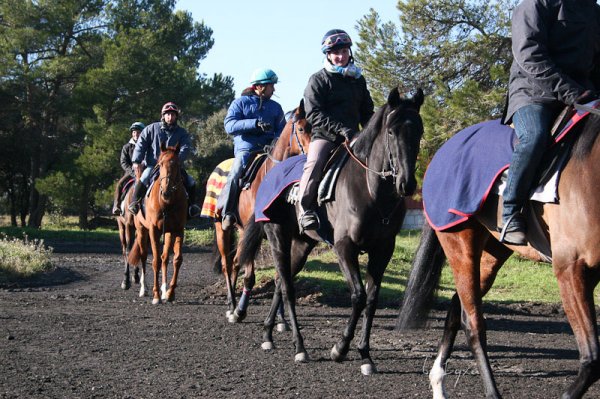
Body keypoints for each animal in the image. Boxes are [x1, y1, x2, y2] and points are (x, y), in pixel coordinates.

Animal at [129, 144, 188, 306]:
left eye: (177, 164)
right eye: (160, 164)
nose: (166, 191)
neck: (167, 202)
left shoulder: (178, 229)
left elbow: (176, 260)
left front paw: (170, 293)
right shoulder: (154, 230)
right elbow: (155, 261)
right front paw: (156, 295)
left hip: (167, 232)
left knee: (165, 257)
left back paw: (164, 289)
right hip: (142, 231)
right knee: (144, 256)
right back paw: (144, 289)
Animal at [211, 101, 312, 324]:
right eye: (301, 128)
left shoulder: (284, 235)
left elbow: (280, 276)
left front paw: (281, 320)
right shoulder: (254, 234)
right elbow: (250, 276)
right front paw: (240, 311)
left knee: (234, 263)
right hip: (222, 229)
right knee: (228, 264)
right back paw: (232, 306)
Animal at [398, 113, 600, 399]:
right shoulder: (571, 270)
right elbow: (592, 358)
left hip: (492, 252)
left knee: (456, 304)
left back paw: (438, 382)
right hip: (460, 243)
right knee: (472, 324)